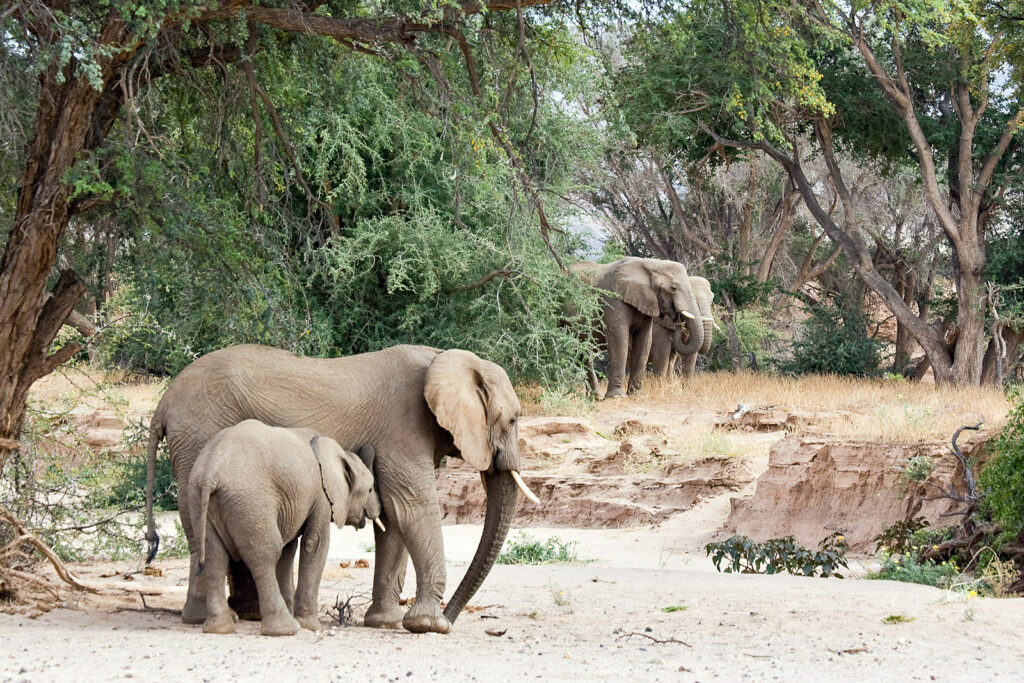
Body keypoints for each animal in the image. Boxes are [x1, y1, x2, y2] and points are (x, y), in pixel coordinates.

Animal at [189, 420, 381, 636]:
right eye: (370, 489)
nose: (377, 510)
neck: (339, 453)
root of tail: (211, 470)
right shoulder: (321, 495)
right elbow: (314, 544)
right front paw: (311, 626)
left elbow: (288, 549)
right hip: (250, 502)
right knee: (265, 556)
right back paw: (285, 629)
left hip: (200, 498)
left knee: (215, 556)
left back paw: (219, 628)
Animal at [571, 258, 703, 398]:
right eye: (673, 288)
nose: (679, 319)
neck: (651, 264)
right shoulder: (614, 299)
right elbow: (619, 339)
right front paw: (617, 396)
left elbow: (644, 341)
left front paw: (637, 395)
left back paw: (597, 397)